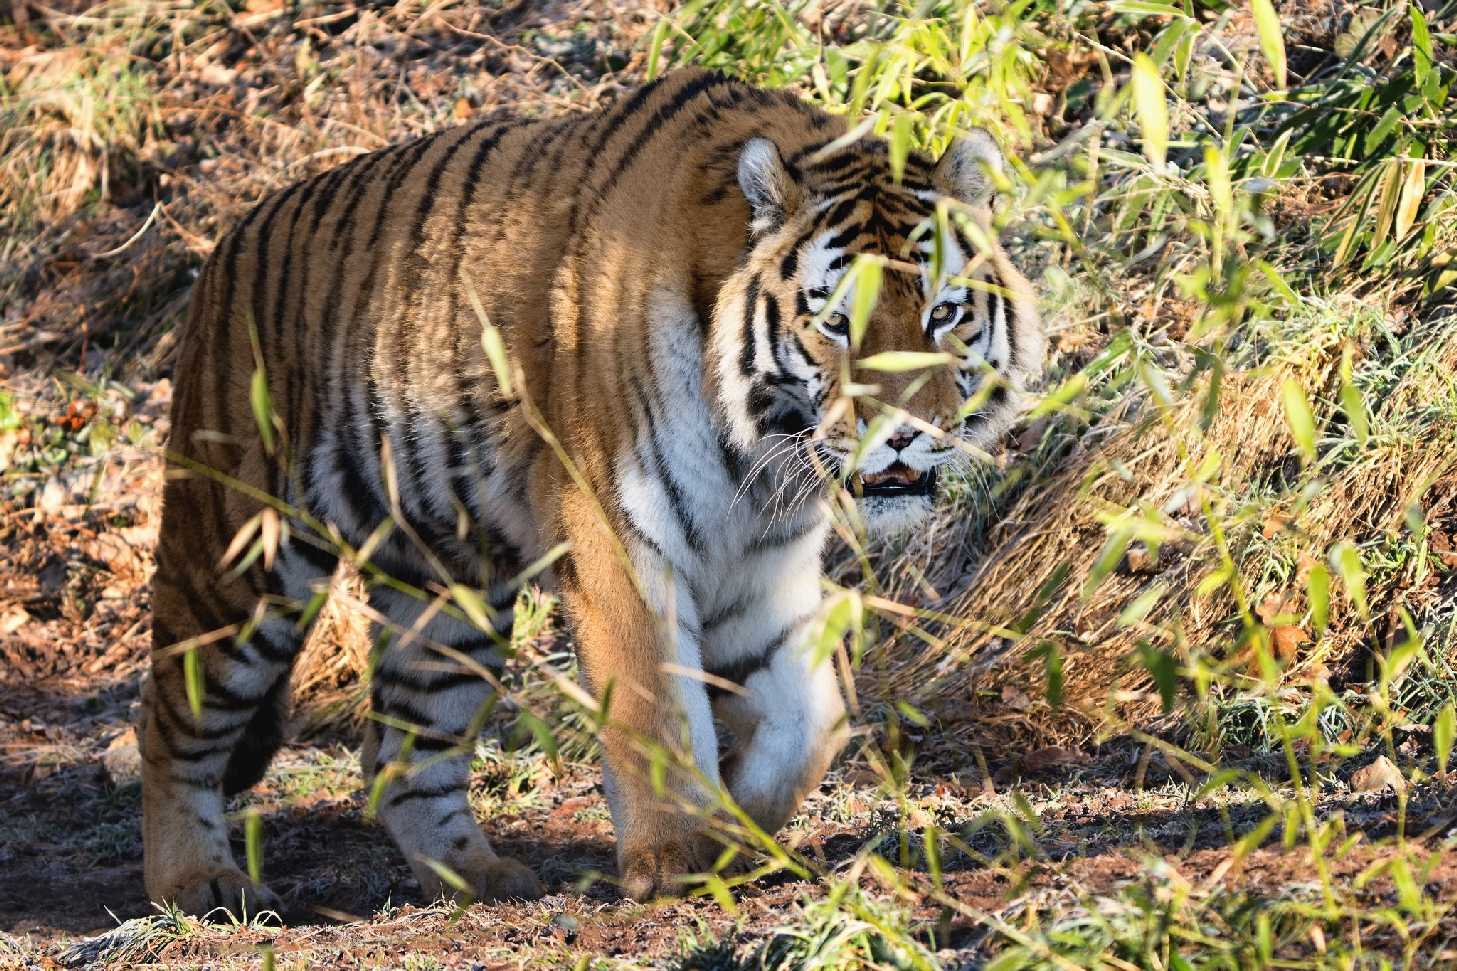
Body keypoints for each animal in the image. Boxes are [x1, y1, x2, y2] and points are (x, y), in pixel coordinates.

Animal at [136, 68, 1043, 915]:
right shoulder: (620, 529)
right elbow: (653, 708)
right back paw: (196, 882)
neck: (765, 447)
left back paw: (477, 877)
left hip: (449, 589)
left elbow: (810, 720)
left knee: (401, 753)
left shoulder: (763, 564)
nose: (903, 431)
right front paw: (677, 857)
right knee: (173, 720)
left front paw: (736, 823)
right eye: (834, 322)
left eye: (943, 314)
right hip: (241, 560)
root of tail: (230, 239)